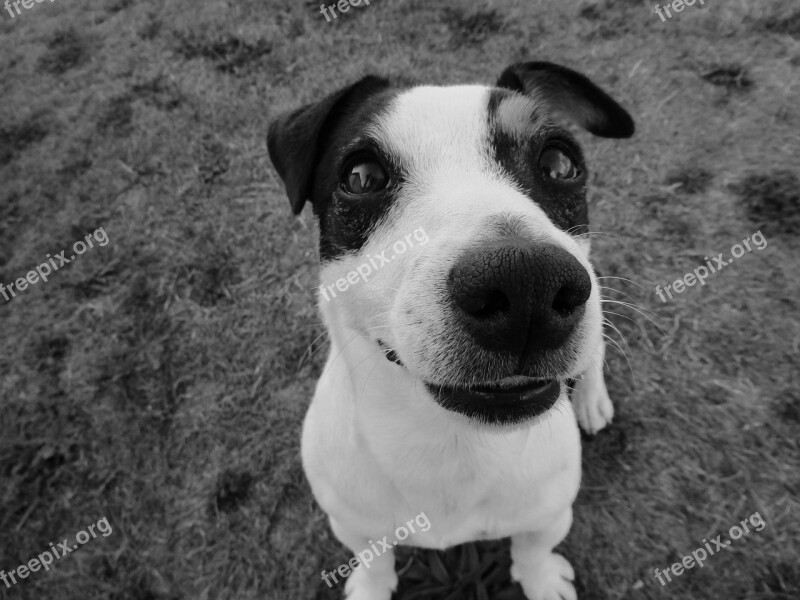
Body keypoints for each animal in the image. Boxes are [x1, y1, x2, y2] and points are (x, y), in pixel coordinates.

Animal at [266, 62, 636, 600]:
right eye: (361, 176)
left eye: (558, 161)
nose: (525, 280)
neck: (452, 442)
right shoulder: (350, 519)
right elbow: (374, 558)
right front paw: (371, 586)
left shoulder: (549, 512)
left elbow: (533, 549)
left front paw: (542, 580)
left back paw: (591, 400)